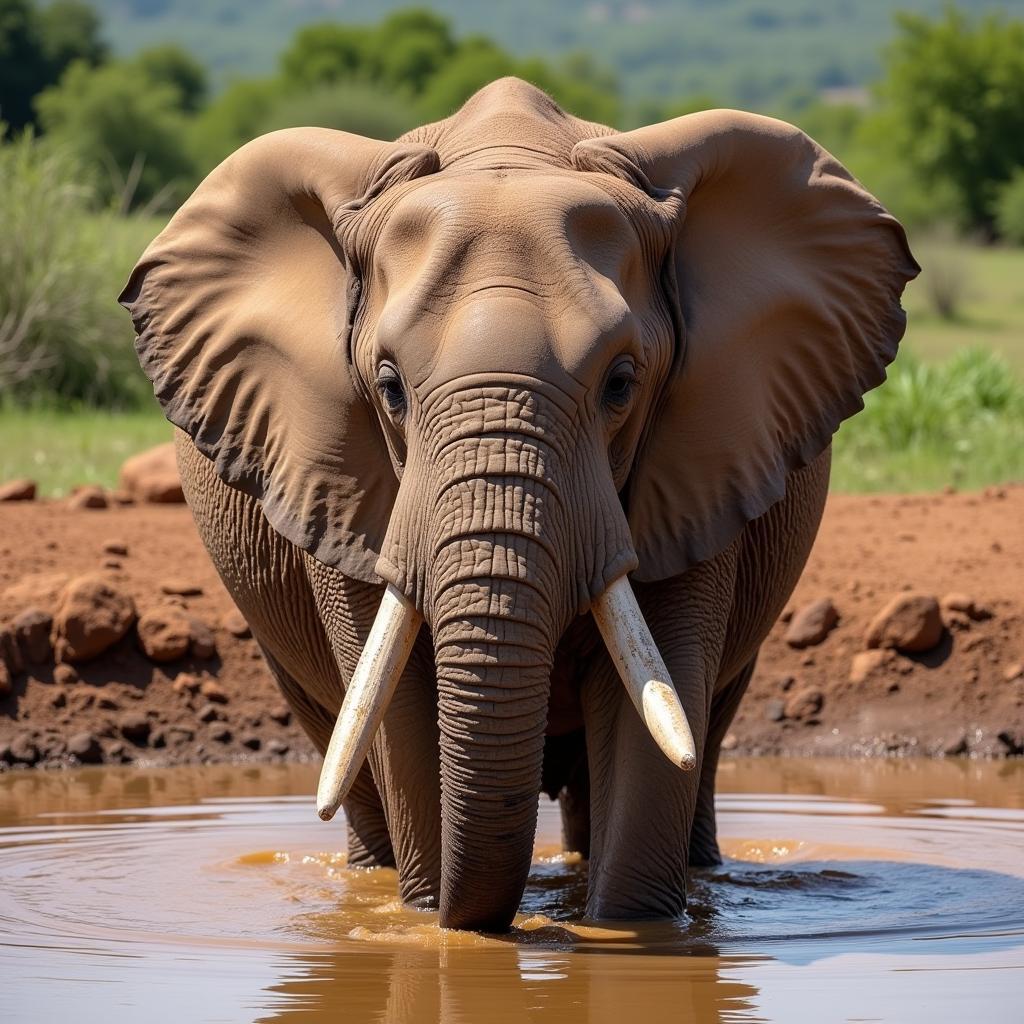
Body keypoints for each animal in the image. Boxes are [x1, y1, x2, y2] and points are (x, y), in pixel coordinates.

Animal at [119, 75, 921, 933]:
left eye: (621, 383)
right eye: (390, 388)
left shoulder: (699, 459)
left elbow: (655, 704)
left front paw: (628, 933)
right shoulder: (342, 475)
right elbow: (401, 710)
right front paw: (428, 921)